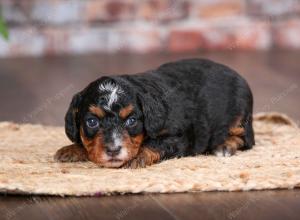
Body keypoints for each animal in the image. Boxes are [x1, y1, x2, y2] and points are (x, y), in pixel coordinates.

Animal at [53, 58, 253, 168]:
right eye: (92, 122)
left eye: (132, 121)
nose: (113, 150)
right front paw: (71, 149)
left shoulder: (181, 137)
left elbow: (155, 144)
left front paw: (136, 157)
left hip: (239, 116)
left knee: (244, 139)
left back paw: (224, 146)